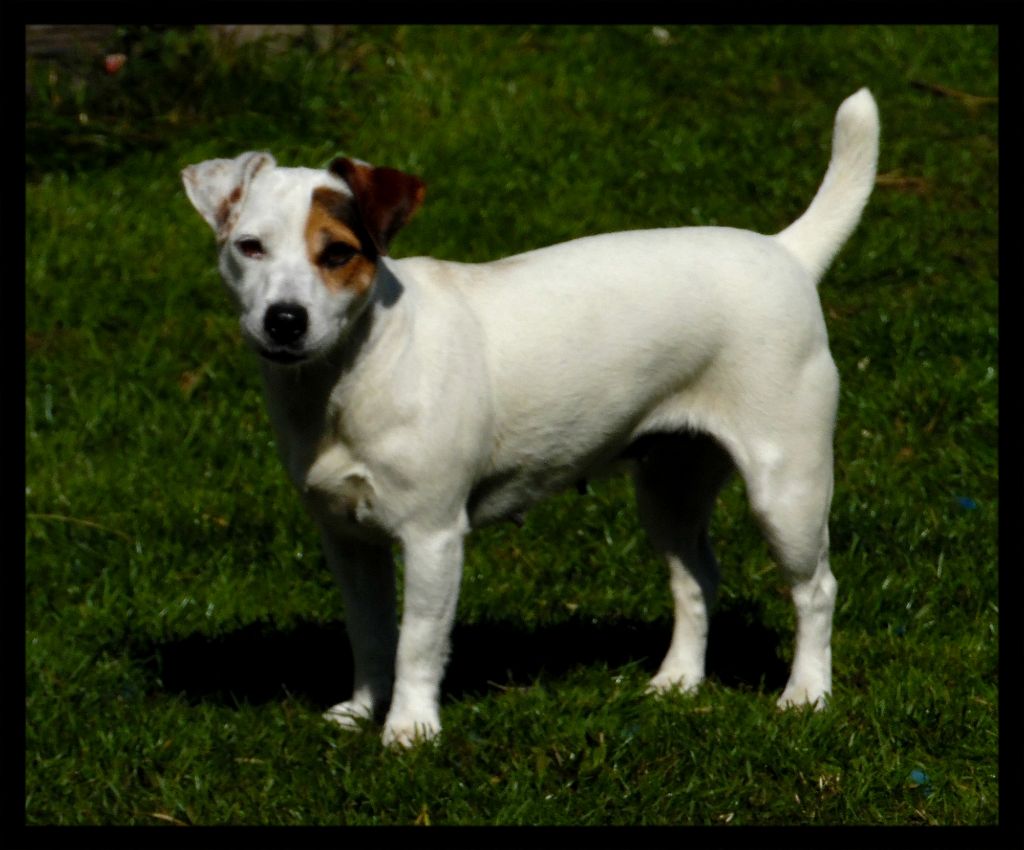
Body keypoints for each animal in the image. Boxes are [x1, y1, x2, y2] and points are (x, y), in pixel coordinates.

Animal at [180, 90, 876, 749]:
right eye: (249, 247)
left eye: (338, 254)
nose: (284, 320)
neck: (359, 370)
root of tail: (787, 252)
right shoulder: (348, 540)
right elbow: (371, 633)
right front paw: (360, 711)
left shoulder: (433, 535)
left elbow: (417, 641)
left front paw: (409, 729)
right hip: (669, 484)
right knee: (697, 578)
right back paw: (678, 680)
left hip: (785, 485)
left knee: (816, 589)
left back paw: (805, 694)